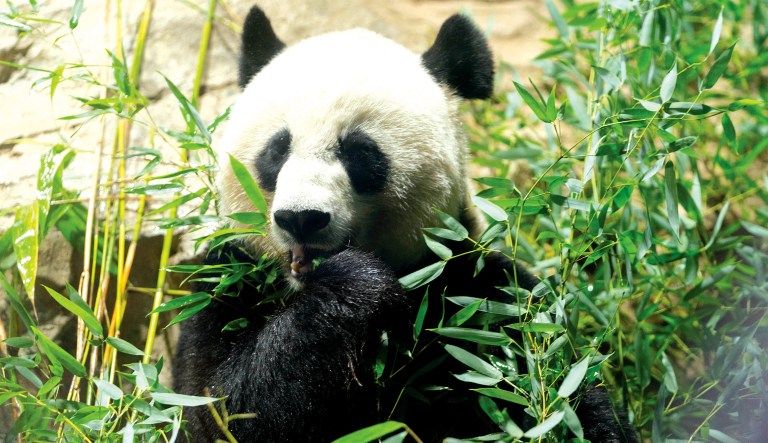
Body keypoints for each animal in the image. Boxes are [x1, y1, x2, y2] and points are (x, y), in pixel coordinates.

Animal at [172, 4, 636, 443]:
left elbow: (559, 388)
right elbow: (225, 406)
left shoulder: (477, 294)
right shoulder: (227, 277)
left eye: (359, 153)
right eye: (277, 149)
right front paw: (355, 283)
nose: (302, 218)